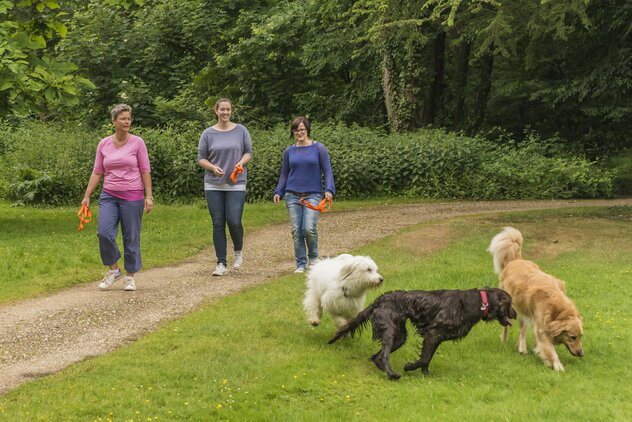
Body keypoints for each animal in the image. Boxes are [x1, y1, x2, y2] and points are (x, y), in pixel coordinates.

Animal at [328, 286, 516, 380]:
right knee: (383, 355)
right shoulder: (432, 333)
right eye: (510, 303)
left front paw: (426, 374)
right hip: (391, 331)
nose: (515, 314)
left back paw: (384, 371)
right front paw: (410, 367)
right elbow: (424, 358)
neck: (479, 302)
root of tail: (380, 299)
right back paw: (392, 374)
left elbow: (427, 359)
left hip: (400, 336)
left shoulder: (436, 338)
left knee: (377, 357)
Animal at [486, 226, 584, 370]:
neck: (556, 307)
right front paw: (558, 365)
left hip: (523, 311)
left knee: (522, 330)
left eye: (580, 336)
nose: (581, 354)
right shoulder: (541, 328)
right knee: (506, 326)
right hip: (511, 308)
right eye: (572, 337)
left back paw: (522, 348)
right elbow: (550, 349)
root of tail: (516, 260)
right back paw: (505, 340)